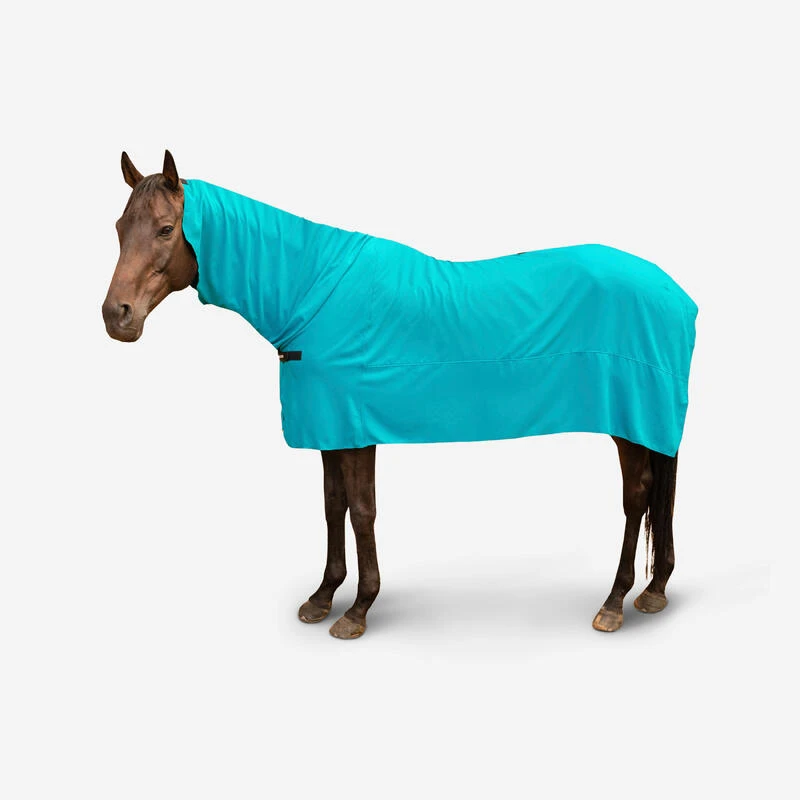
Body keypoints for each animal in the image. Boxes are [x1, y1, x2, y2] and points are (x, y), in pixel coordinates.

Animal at [103, 150, 695, 639]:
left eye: (165, 228)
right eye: (118, 227)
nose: (116, 316)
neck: (310, 290)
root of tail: (675, 293)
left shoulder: (354, 426)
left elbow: (362, 510)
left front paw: (359, 609)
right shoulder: (330, 428)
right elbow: (332, 505)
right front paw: (323, 596)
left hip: (629, 422)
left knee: (638, 497)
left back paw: (614, 601)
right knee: (656, 496)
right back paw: (655, 590)